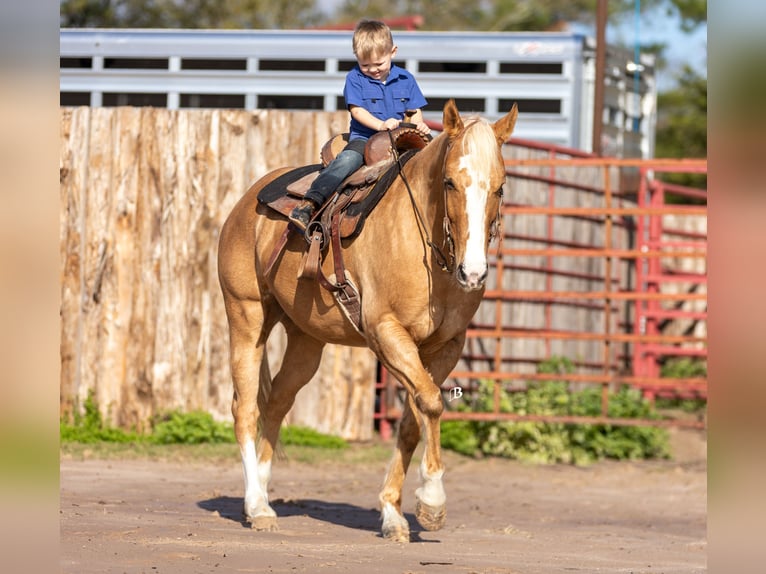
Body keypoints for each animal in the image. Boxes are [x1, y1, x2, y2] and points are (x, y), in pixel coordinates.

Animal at [217, 99, 518, 542]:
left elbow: (413, 420)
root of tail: (248, 202)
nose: (473, 272)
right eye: (449, 182)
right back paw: (256, 505)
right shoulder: (387, 333)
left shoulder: (445, 347)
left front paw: (393, 513)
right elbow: (431, 403)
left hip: (305, 341)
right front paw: (432, 503)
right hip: (246, 316)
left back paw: (264, 495)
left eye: (499, 187)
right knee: (245, 408)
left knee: (276, 405)